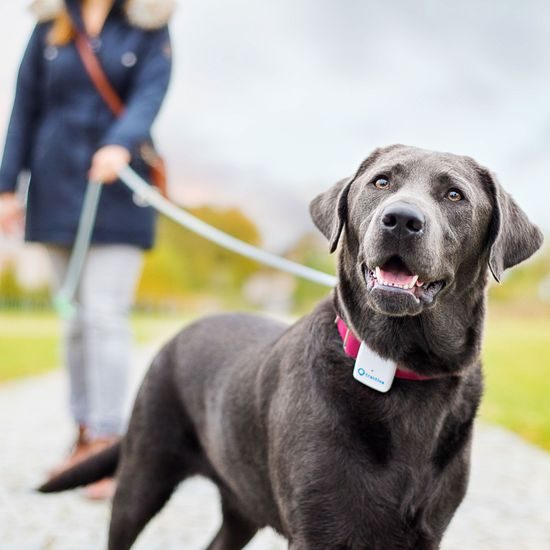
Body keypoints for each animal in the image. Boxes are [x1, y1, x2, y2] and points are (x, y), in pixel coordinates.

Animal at [42, 144, 544, 548]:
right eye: (381, 182)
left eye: (455, 195)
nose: (401, 219)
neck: (399, 366)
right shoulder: (318, 529)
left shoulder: (425, 534)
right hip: (142, 477)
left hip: (241, 501)